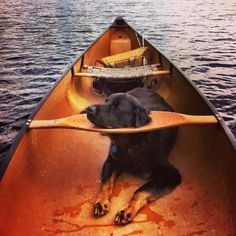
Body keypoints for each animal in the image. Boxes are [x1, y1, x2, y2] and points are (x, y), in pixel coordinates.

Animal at [83, 87, 181, 224]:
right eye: (106, 101)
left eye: (116, 106)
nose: (89, 108)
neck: (132, 145)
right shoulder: (111, 161)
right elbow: (106, 183)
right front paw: (101, 202)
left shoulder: (171, 173)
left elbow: (141, 190)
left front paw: (127, 210)